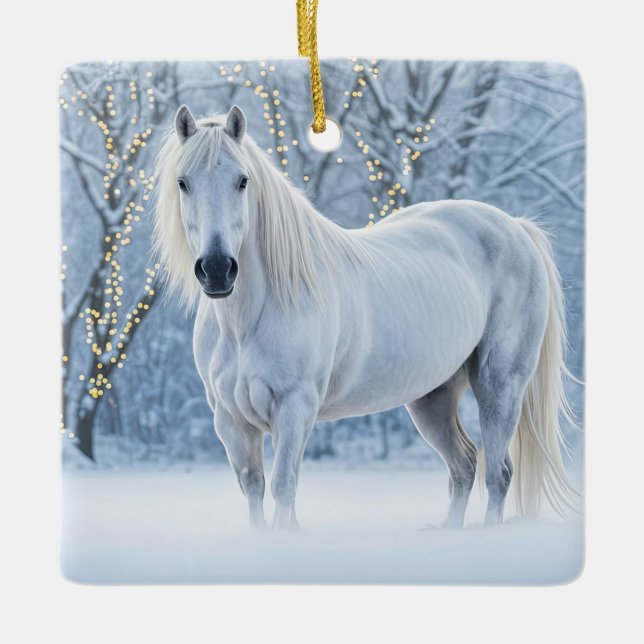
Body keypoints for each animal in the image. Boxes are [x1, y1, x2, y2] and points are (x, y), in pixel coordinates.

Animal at [153, 104, 579, 531]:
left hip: (499, 386)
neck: (249, 320)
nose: (217, 269)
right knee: (464, 465)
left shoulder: (295, 408)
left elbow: (284, 487)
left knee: (498, 474)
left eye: (242, 181)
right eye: (183, 183)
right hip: (433, 398)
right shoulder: (230, 420)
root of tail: (516, 228)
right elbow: (254, 489)